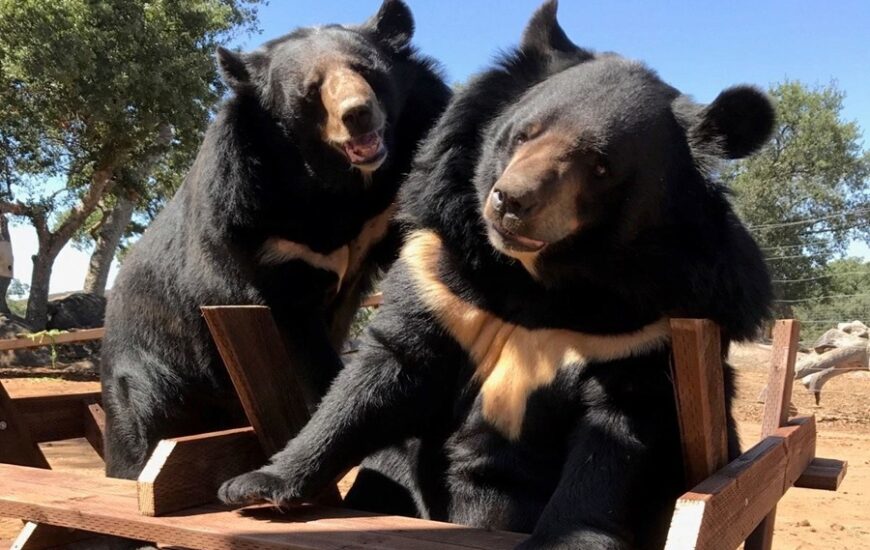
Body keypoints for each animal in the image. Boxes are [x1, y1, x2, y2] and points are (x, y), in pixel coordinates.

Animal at [100, 0, 450, 480]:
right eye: (311, 91)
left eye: (367, 71)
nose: (359, 113)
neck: (336, 184)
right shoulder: (254, 233)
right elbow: (297, 343)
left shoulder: (385, 204)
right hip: (147, 380)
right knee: (145, 427)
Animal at [217, 2, 774, 548]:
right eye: (523, 134)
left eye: (599, 166)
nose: (511, 201)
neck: (532, 282)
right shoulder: (442, 281)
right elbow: (379, 378)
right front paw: (254, 485)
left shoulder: (646, 328)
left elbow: (616, 440)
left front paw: (565, 540)